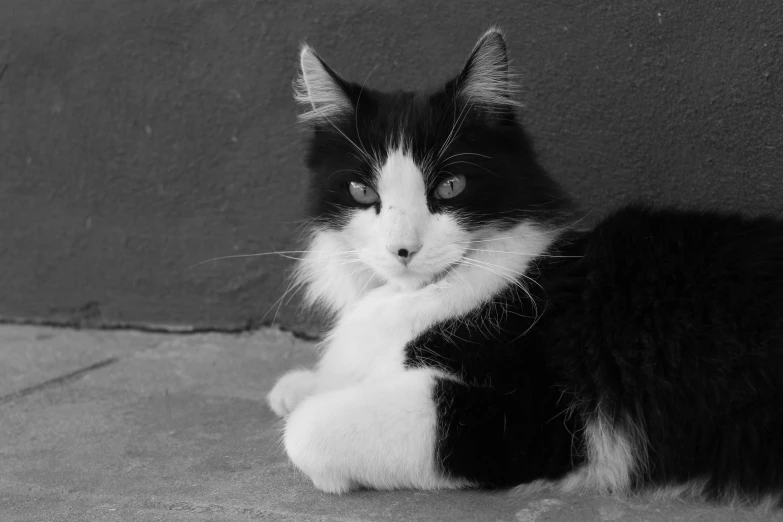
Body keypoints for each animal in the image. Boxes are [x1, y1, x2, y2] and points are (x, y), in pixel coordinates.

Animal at [268, 26, 783, 502]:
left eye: (451, 186)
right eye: (361, 192)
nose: (403, 250)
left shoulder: (540, 417)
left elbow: (306, 431)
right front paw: (304, 384)